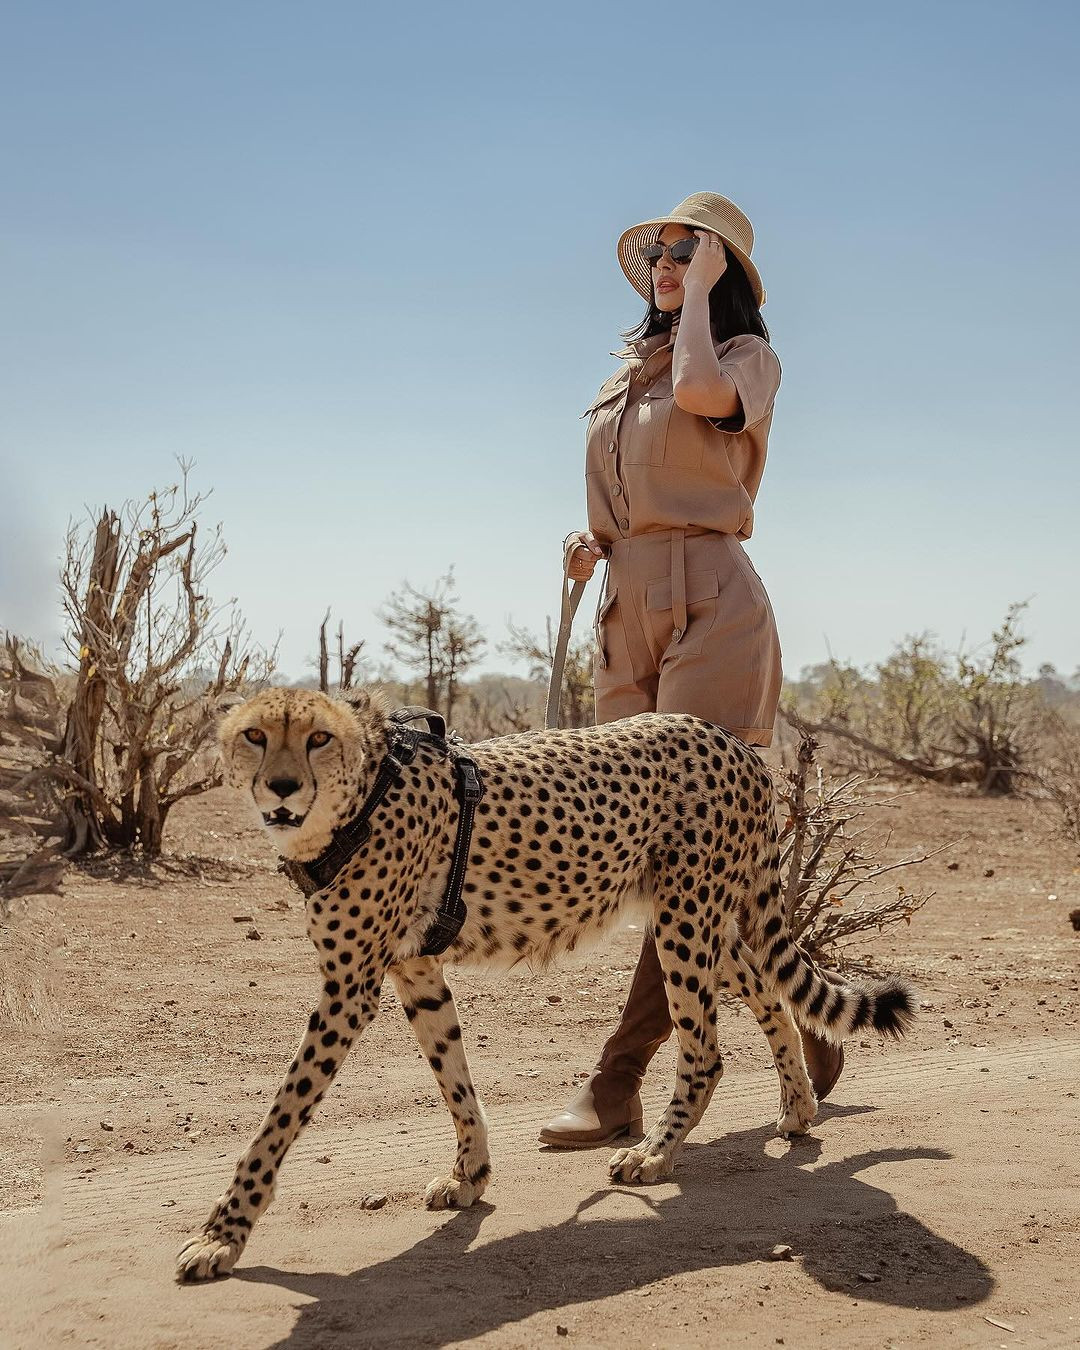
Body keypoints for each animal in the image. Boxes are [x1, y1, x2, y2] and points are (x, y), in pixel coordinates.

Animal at [176, 686, 915, 1281]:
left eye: (318, 739)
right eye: (255, 735)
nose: (280, 787)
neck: (355, 798)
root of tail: (726, 736)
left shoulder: (351, 986)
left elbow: (280, 1115)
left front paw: (223, 1234)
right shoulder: (415, 970)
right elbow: (453, 1076)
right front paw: (470, 1174)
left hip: (685, 916)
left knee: (706, 1051)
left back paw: (655, 1155)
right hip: (694, 915)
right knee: (767, 989)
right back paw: (798, 1105)